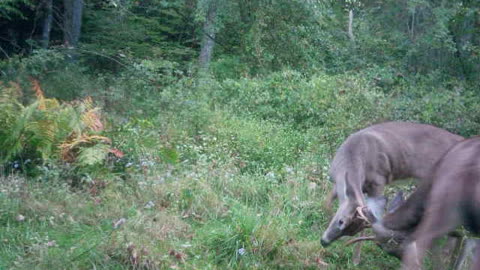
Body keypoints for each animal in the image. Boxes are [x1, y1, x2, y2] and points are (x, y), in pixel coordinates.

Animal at [320, 122, 464, 247]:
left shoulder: (378, 181)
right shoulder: (338, 183)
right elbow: (326, 202)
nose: (324, 242)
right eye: (341, 221)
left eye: (350, 230)